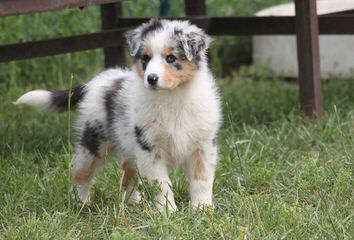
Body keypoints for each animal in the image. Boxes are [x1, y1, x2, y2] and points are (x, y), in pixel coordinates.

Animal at [16, 19, 223, 212]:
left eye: (171, 58)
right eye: (145, 58)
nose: (151, 79)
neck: (173, 97)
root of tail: (97, 82)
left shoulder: (203, 145)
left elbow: (201, 180)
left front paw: (202, 209)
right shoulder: (149, 147)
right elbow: (161, 183)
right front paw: (168, 212)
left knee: (127, 170)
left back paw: (133, 201)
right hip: (95, 142)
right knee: (81, 173)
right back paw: (81, 203)